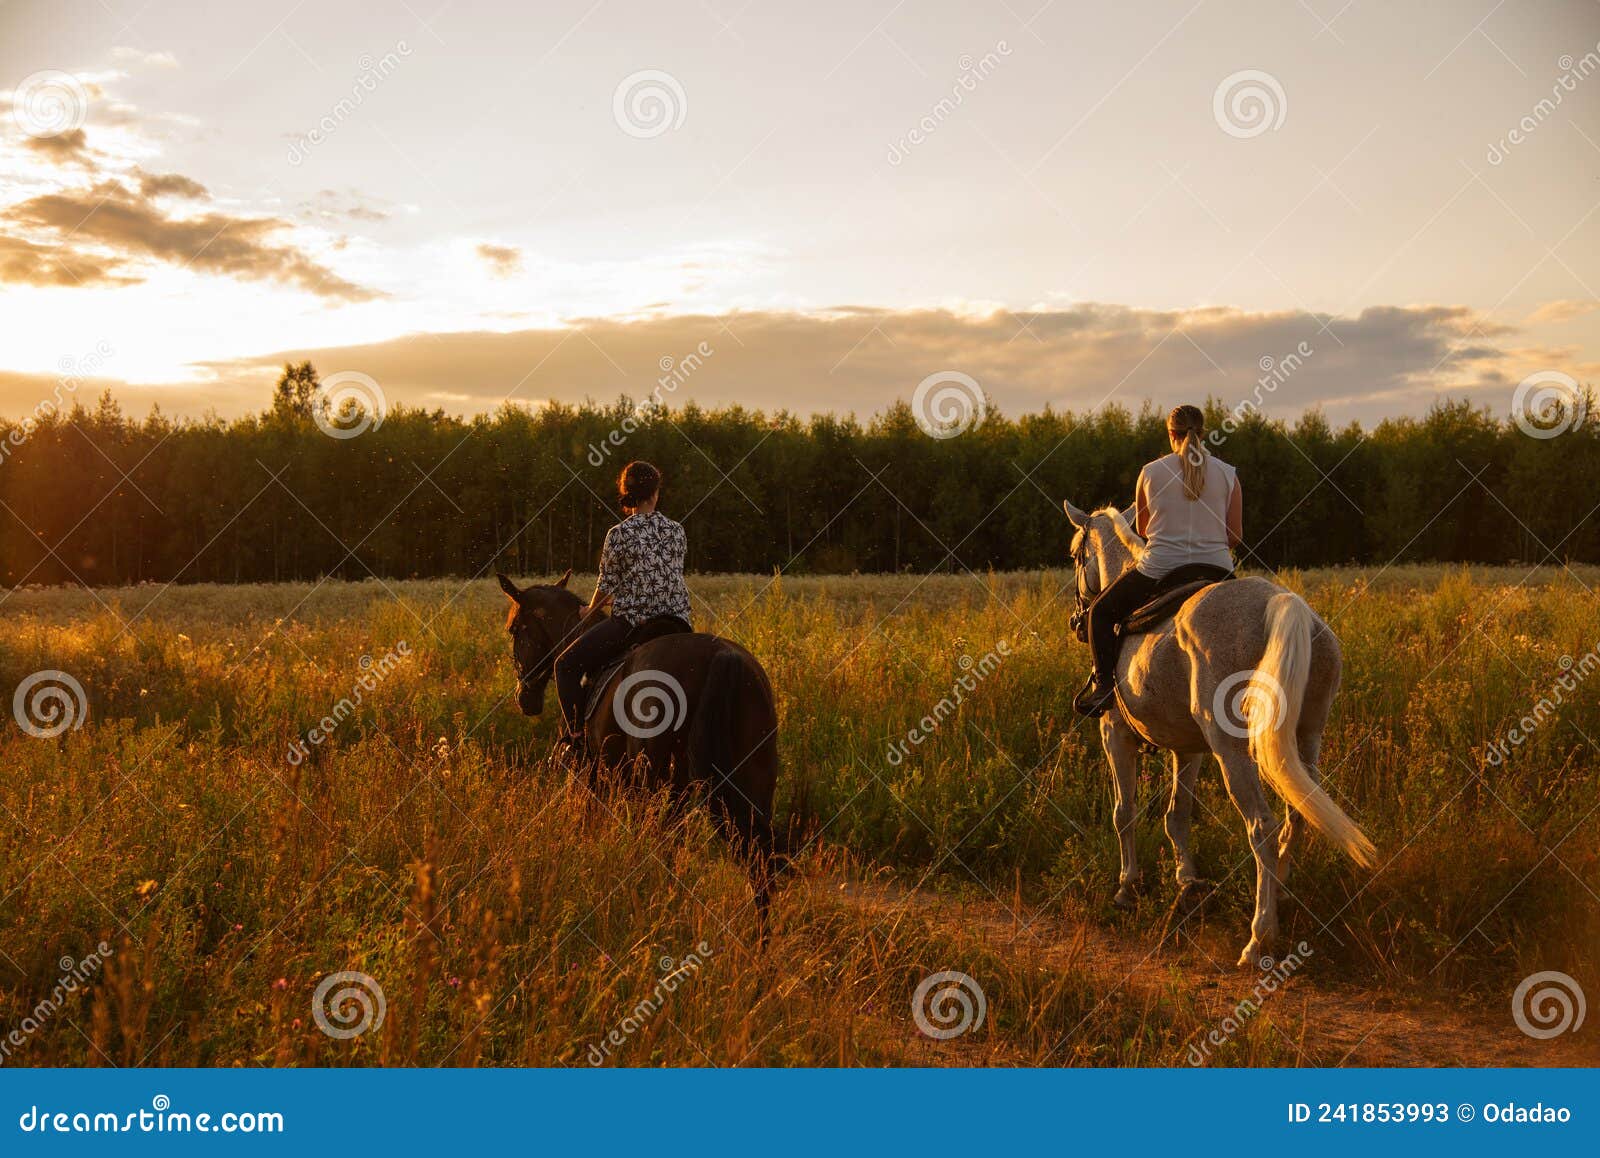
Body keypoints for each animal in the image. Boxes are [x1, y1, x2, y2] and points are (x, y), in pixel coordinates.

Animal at [492, 572, 780, 921]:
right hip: (749, 784)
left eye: (514, 629)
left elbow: (587, 825)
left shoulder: (590, 779)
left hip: (658, 784)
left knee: (666, 843)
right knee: (757, 862)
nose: (525, 699)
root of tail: (722, 658)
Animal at [1062, 502, 1376, 966]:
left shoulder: (1113, 734)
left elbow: (1125, 812)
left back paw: (1259, 936)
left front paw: (1127, 887)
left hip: (1232, 751)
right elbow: (1177, 815)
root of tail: (1282, 603)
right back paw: (1281, 895)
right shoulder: (1188, 749)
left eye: (1075, 555)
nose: (1078, 621)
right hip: (1304, 741)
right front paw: (1187, 881)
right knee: (1298, 811)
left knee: (1262, 827)